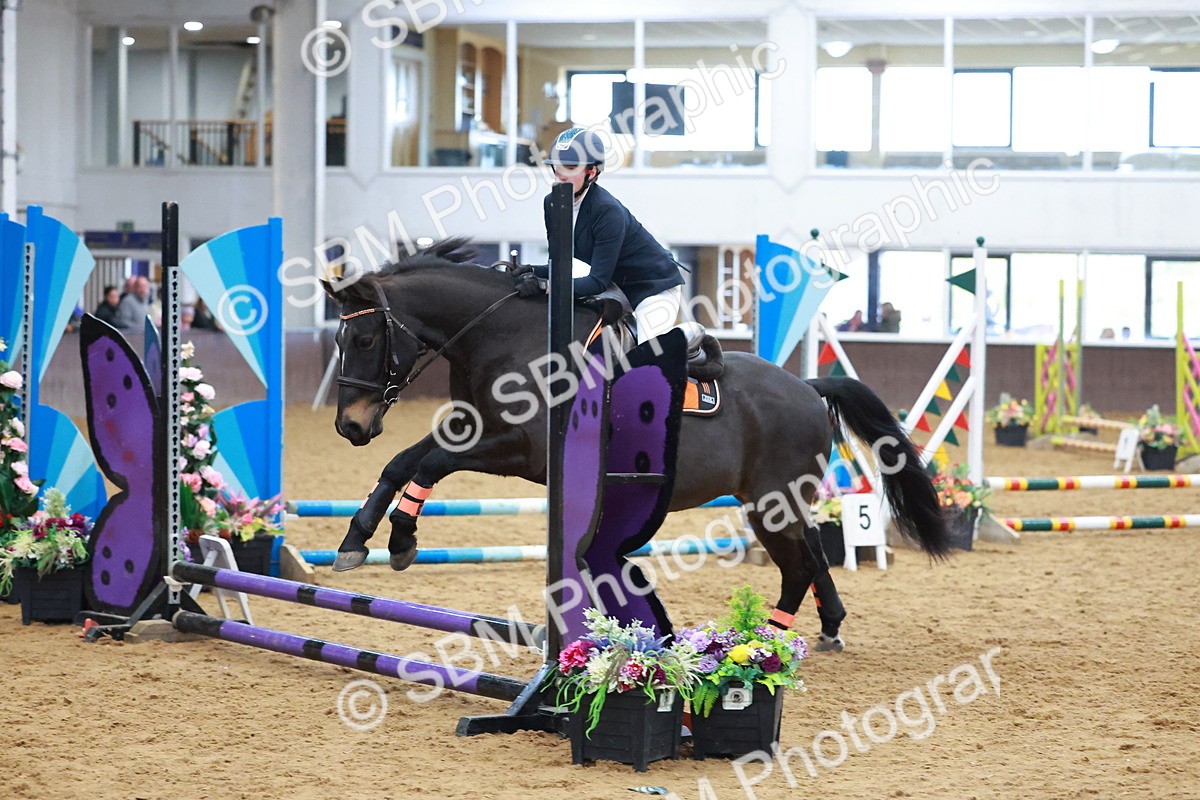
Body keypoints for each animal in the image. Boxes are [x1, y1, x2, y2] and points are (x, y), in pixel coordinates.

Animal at [322, 239, 951, 645]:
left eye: (365, 337)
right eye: (340, 339)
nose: (350, 426)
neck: (501, 334)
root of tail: (807, 386)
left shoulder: (518, 451)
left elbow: (431, 462)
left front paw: (400, 537)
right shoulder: (473, 425)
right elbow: (402, 461)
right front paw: (357, 539)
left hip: (772, 502)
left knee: (798, 564)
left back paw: (768, 644)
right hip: (778, 502)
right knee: (815, 550)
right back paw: (828, 626)